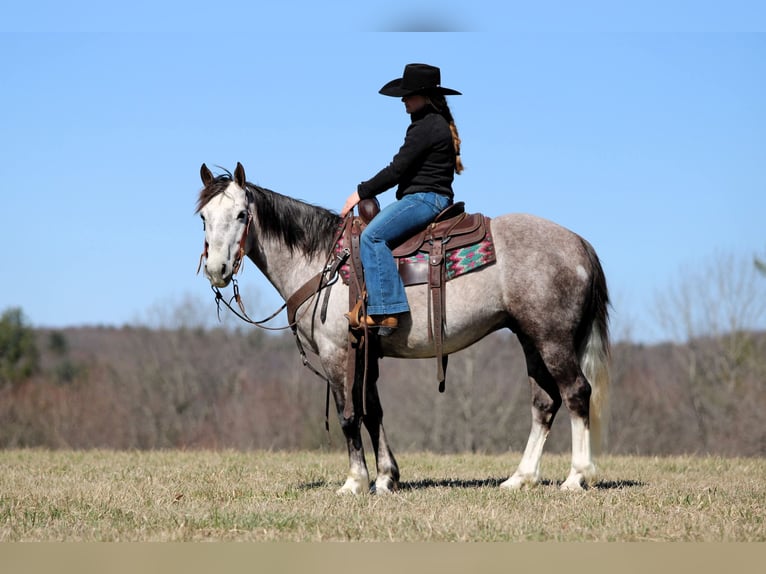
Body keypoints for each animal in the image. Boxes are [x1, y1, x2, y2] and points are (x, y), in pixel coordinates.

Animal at [195, 162, 610, 494]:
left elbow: (349, 415)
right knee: (544, 402)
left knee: (576, 393)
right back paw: (520, 478)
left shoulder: (337, 353)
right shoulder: (367, 354)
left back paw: (576, 477)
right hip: (530, 338)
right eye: (203, 217)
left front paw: (355, 482)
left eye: (241, 214)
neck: (324, 262)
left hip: (553, 339)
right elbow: (373, 412)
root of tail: (580, 244)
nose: (216, 269)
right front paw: (385, 478)